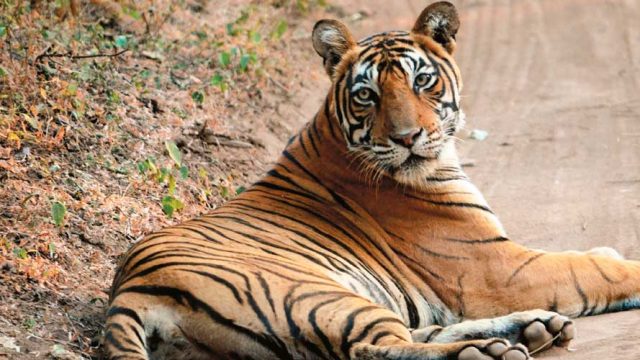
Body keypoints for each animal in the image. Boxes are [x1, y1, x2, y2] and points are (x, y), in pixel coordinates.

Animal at [105, 2, 640, 360]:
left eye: (422, 81)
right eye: (367, 94)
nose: (407, 138)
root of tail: (129, 289)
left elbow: (593, 259)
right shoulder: (497, 266)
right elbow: (596, 270)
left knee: (407, 336)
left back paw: (532, 329)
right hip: (321, 295)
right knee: (376, 349)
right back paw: (489, 349)